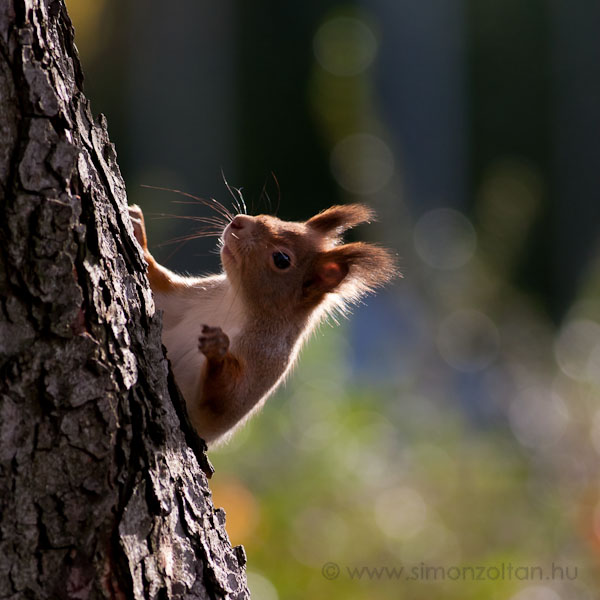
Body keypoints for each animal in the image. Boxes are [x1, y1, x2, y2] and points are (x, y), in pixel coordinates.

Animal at [129, 202, 396, 446]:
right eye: (273, 217)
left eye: (282, 259)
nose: (238, 221)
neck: (236, 305)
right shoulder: (184, 299)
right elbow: (159, 282)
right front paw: (138, 231)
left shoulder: (263, 363)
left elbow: (224, 400)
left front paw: (217, 349)